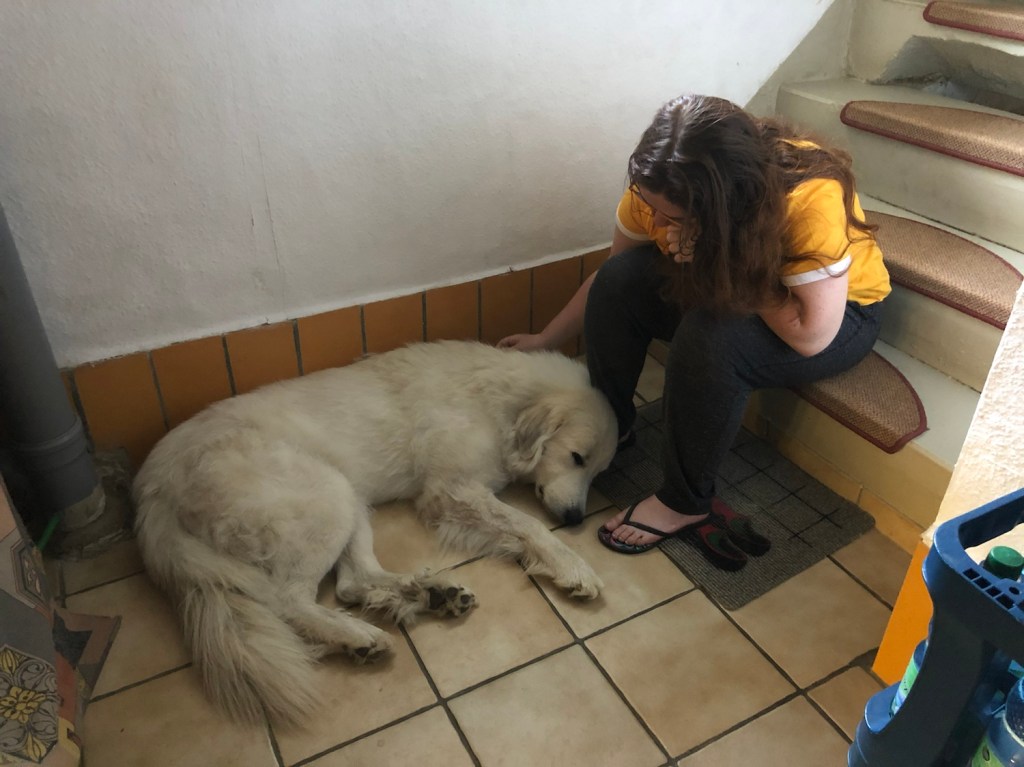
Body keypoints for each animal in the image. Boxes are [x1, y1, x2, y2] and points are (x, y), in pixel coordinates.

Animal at [133, 340, 618, 726]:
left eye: (598, 472)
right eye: (576, 457)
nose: (576, 518)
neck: (497, 401)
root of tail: (154, 488)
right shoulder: (452, 491)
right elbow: (528, 524)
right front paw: (574, 567)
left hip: (350, 497)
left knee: (352, 583)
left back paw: (428, 594)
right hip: (326, 495)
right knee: (288, 599)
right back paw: (358, 635)